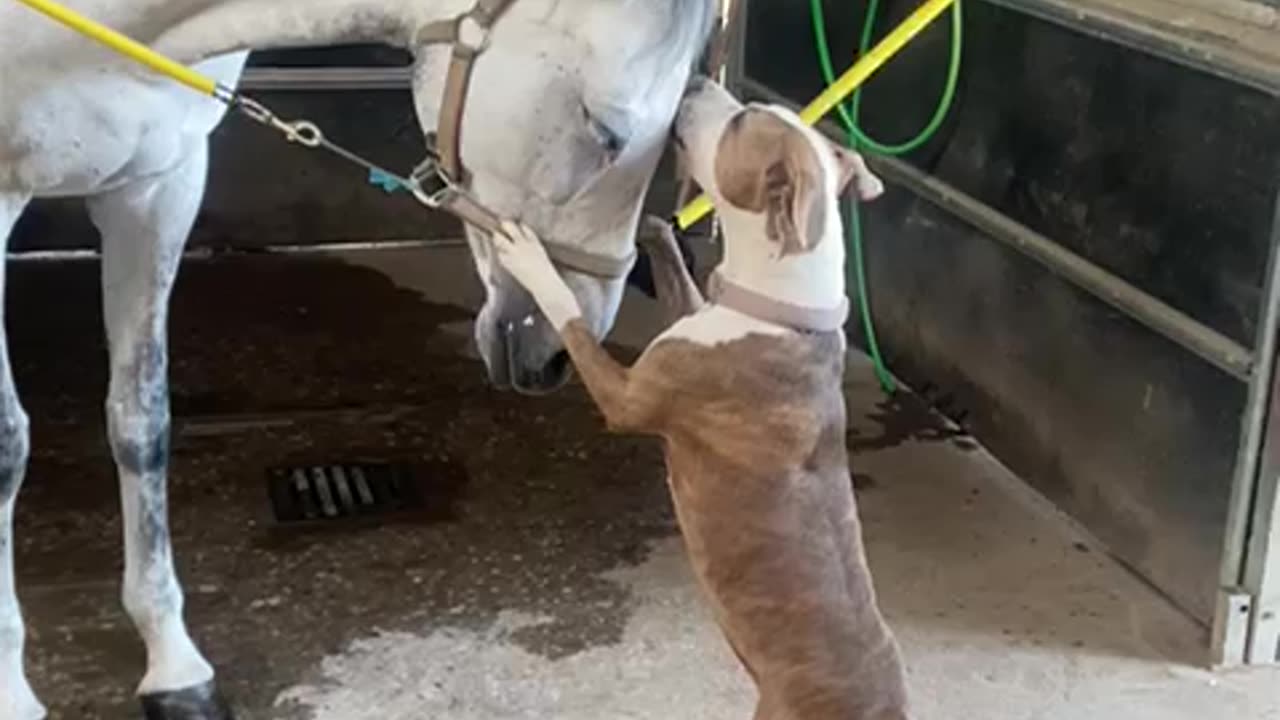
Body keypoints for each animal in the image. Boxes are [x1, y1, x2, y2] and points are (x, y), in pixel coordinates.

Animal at [0, 2, 716, 712]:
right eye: (607, 133)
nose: (556, 360)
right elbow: (9, 447)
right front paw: (14, 690)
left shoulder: (158, 185)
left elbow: (141, 423)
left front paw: (174, 665)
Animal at [491, 75, 911, 712]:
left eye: (741, 121)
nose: (695, 80)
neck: (782, 307)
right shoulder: (690, 312)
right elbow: (674, 266)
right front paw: (655, 225)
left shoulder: (629, 397)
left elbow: (572, 322)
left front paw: (531, 257)